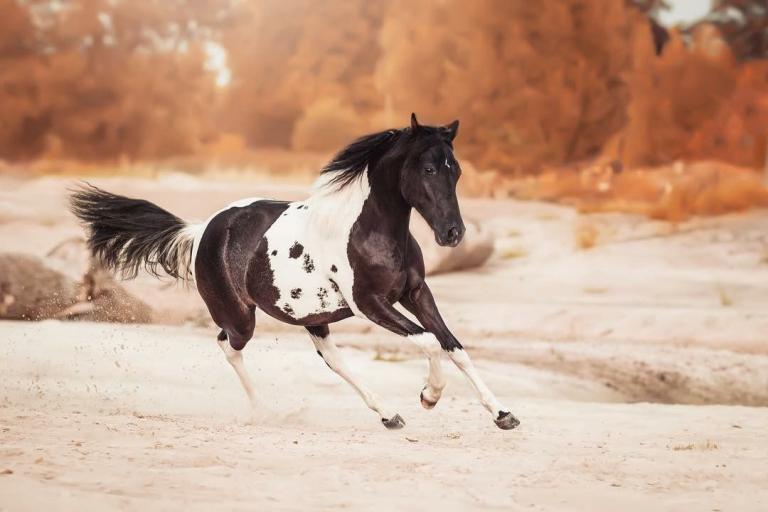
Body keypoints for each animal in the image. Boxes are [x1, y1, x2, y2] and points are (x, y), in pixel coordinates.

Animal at [70, 113, 520, 431]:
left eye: (455, 170)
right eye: (428, 169)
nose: (453, 233)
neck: (370, 229)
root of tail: (202, 230)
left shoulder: (416, 293)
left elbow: (453, 345)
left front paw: (503, 415)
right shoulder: (370, 304)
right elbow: (428, 341)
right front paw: (429, 396)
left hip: (313, 317)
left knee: (332, 360)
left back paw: (387, 415)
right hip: (241, 317)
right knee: (228, 346)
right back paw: (264, 412)